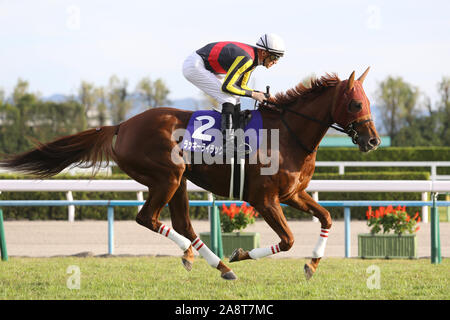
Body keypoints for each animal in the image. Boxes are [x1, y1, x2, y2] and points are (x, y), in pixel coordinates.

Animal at [0, 67, 380, 280]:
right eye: (355, 103)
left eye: (368, 102)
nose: (373, 140)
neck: (288, 133)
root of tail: (122, 125)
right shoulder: (264, 199)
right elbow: (287, 240)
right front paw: (241, 254)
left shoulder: (293, 194)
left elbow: (326, 217)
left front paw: (312, 265)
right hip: (167, 176)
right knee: (148, 218)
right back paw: (205, 258)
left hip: (178, 180)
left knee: (180, 222)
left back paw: (216, 265)